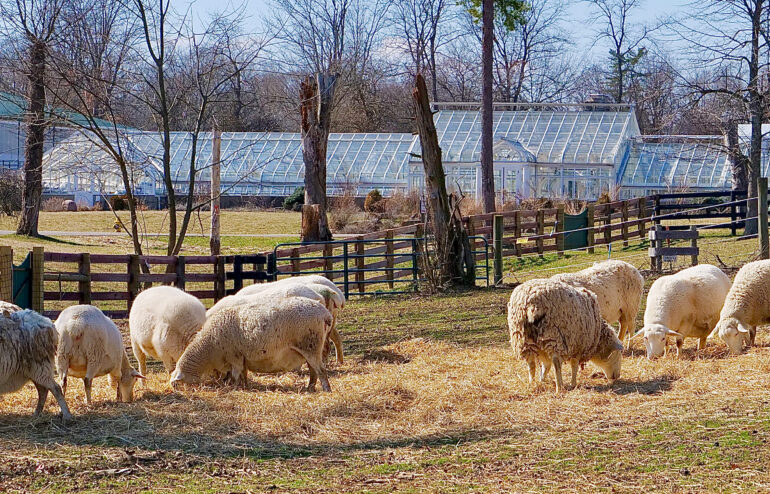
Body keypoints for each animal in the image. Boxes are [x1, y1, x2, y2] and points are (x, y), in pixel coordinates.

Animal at [171, 298, 332, 394]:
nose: (174, 389)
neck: (208, 346)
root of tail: (325, 313)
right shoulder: (242, 357)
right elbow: (244, 373)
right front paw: (245, 386)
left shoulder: (234, 356)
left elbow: (235, 375)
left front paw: (234, 387)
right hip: (310, 348)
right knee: (313, 370)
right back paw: (310, 387)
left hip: (311, 345)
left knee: (321, 370)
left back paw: (326, 389)